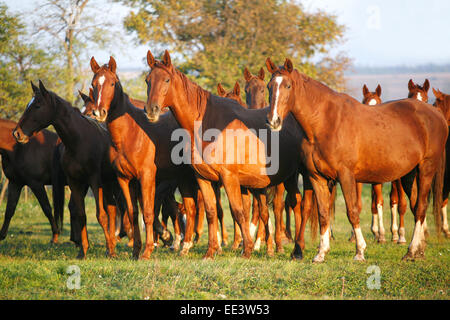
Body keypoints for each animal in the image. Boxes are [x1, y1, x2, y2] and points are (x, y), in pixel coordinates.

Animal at [89, 56, 205, 258]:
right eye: (93, 84)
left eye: (112, 83)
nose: (99, 112)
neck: (131, 134)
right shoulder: (125, 179)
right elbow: (133, 213)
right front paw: (136, 250)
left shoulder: (147, 177)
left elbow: (149, 213)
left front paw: (148, 250)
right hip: (183, 178)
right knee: (190, 209)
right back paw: (185, 246)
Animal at [144, 50, 306, 260]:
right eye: (148, 80)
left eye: (166, 79)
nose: (151, 110)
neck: (207, 125)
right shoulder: (203, 178)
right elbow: (212, 212)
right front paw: (210, 251)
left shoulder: (229, 178)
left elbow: (238, 212)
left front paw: (246, 249)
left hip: (289, 179)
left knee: (295, 207)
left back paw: (294, 249)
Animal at [268, 58, 446, 262]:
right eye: (269, 86)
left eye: (288, 85)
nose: (273, 120)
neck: (325, 123)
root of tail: (436, 115)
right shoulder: (317, 178)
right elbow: (323, 214)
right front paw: (321, 253)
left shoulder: (346, 176)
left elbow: (352, 211)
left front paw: (360, 251)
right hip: (410, 175)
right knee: (416, 207)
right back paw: (419, 250)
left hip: (426, 169)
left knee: (422, 207)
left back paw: (410, 250)